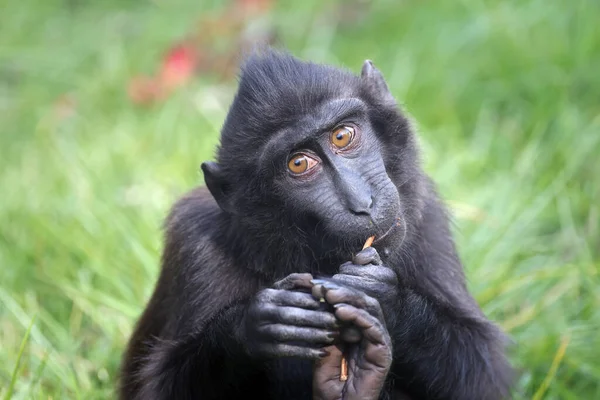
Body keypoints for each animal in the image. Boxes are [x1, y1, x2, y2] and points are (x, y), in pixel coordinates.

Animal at [119, 47, 512, 400]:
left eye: (342, 136)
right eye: (298, 164)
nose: (362, 203)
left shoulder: (424, 214)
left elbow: (485, 373)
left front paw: (383, 297)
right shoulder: (194, 242)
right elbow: (159, 388)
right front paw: (256, 325)